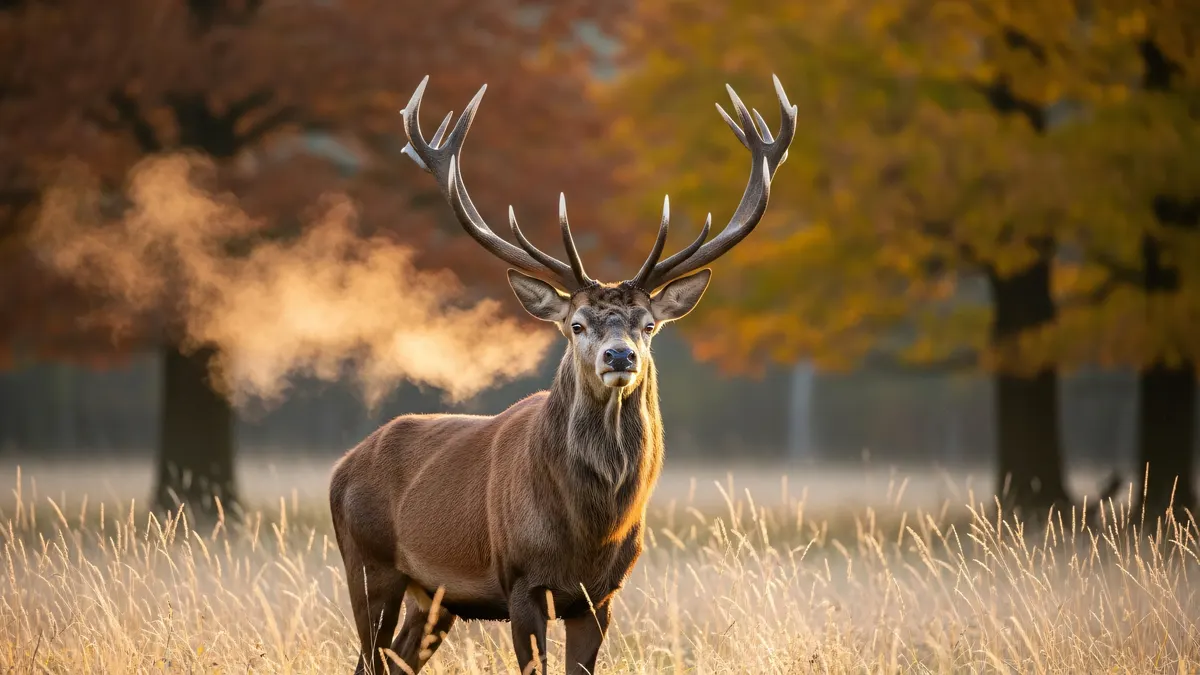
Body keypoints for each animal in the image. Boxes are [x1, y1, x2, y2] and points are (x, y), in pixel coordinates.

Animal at [329, 74, 797, 675]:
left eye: (648, 325)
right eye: (576, 324)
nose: (619, 357)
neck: (588, 533)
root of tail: (341, 467)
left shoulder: (601, 596)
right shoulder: (522, 582)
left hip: (432, 598)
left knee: (397, 659)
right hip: (368, 566)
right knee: (368, 657)